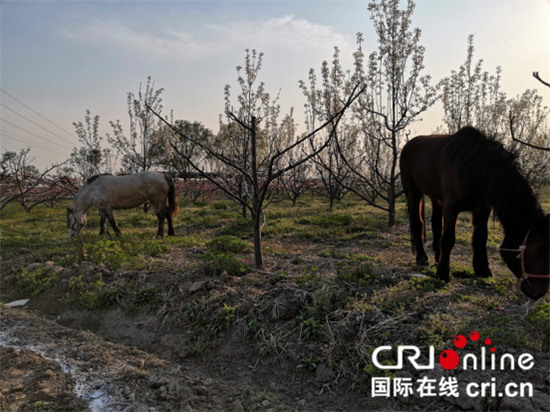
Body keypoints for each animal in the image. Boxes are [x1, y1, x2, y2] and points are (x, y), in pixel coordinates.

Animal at [402, 125, 550, 300]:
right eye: (540, 252)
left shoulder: (482, 209)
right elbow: (449, 239)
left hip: (435, 197)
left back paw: (438, 257)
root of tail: (409, 144)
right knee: (418, 223)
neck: (475, 168)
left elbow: (480, 237)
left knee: (436, 224)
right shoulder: (451, 208)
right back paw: (422, 258)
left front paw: (482, 270)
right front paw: (443, 274)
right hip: (413, 192)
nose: (539, 293)